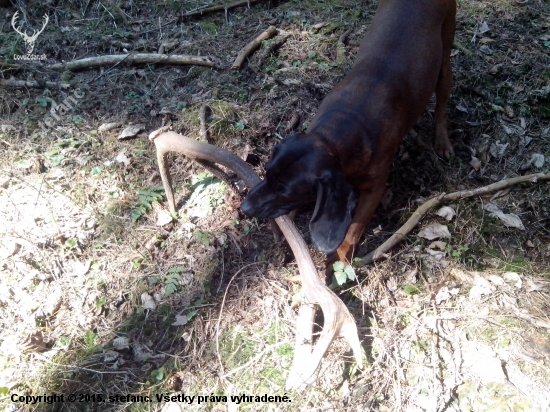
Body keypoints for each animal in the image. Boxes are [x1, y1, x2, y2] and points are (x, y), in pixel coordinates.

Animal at [242, 0, 458, 264]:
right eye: (267, 171)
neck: (341, 131)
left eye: (286, 191)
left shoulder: (374, 190)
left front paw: (341, 260)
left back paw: (442, 141)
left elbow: (353, 230)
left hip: (444, 60)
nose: (244, 209)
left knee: (442, 104)